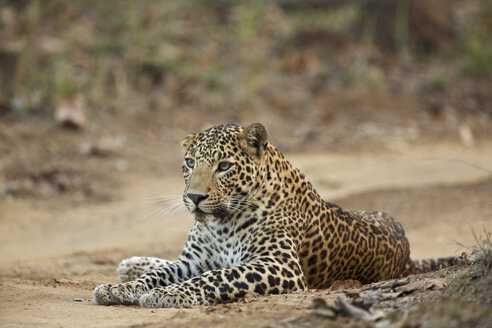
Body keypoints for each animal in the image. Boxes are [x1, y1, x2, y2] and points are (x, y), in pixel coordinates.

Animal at [93, 122, 458, 308]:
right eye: (190, 163)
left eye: (223, 166)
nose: (194, 198)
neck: (222, 223)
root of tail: (407, 253)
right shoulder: (192, 261)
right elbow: (164, 273)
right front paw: (120, 289)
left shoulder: (279, 266)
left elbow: (217, 276)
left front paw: (169, 294)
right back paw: (132, 265)